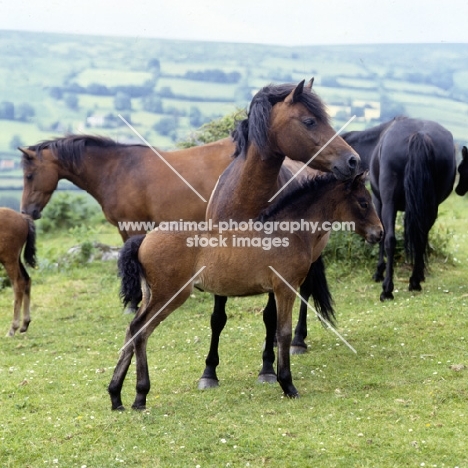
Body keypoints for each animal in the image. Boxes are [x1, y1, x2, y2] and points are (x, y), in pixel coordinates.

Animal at [0, 208, 36, 336]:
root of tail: (22, 217)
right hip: (17, 259)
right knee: (27, 279)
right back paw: (25, 324)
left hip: (9, 259)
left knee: (18, 284)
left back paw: (13, 328)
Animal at [109, 172, 384, 410]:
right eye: (363, 202)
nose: (379, 233)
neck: (288, 231)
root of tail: (143, 239)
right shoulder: (284, 288)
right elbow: (283, 333)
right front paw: (288, 385)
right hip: (170, 295)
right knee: (141, 330)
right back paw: (140, 396)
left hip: (150, 295)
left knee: (131, 329)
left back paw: (116, 396)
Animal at [342, 116, 456, 300]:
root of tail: (419, 135)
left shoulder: (378, 202)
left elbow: (382, 237)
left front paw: (379, 273)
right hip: (431, 206)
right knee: (421, 237)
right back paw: (415, 281)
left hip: (390, 203)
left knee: (390, 240)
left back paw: (387, 289)